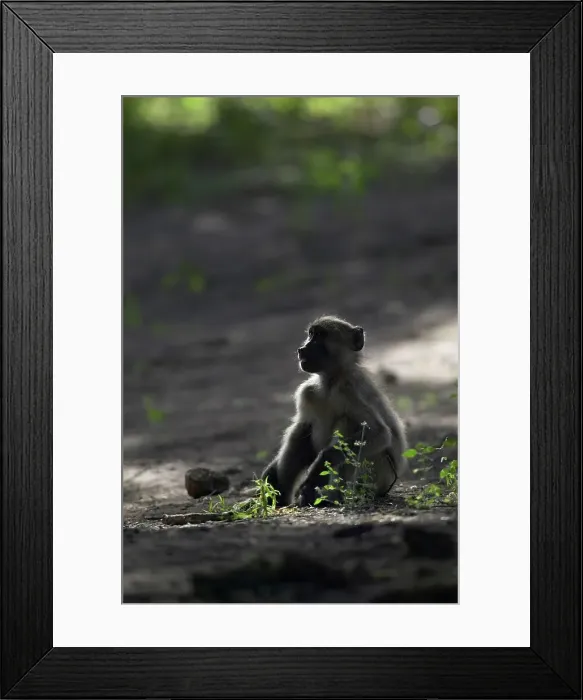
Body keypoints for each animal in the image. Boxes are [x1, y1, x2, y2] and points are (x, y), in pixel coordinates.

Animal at [262, 315, 408, 508]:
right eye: (311, 334)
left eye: (320, 336)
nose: (302, 349)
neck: (330, 382)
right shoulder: (308, 392)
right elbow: (303, 429)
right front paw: (272, 478)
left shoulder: (349, 390)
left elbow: (380, 433)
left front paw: (319, 470)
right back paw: (282, 496)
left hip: (377, 477)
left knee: (346, 422)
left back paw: (330, 498)